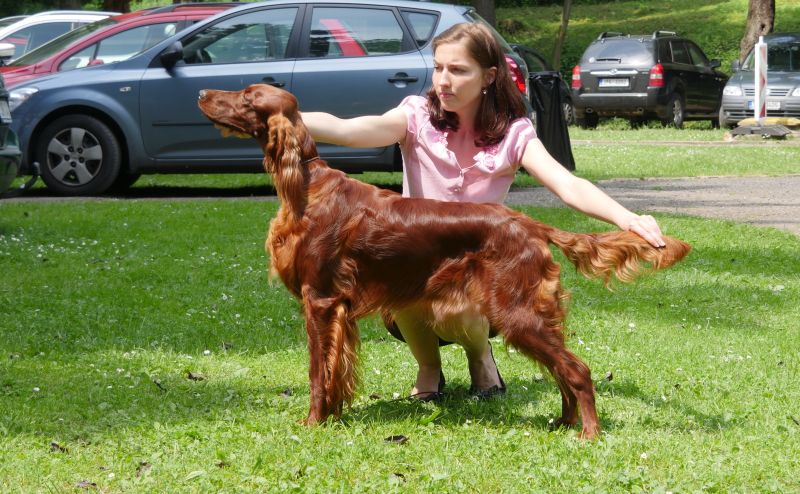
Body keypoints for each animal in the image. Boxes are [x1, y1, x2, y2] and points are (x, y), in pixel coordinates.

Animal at [197, 85, 692, 440]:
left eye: (247, 97)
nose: (201, 93)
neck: (306, 184)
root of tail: (530, 225)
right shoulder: (336, 310)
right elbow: (337, 371)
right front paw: (334, 417)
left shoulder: (318, 301)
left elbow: (319, 373)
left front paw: (313, 423)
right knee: (561, 369)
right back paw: (564, 422)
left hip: (514, 312)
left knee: (577, 370)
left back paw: (587, 433)